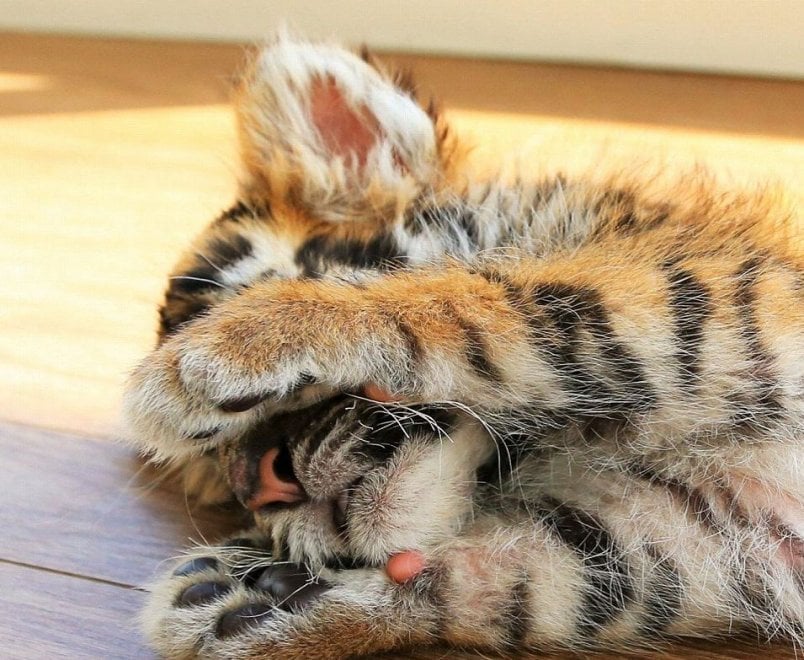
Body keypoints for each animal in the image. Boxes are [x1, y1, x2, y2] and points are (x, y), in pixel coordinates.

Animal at [123, 33, 804, 659]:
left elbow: (504, 302)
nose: (256, 485)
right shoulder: (693, 539)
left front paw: (224, 350)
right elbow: (523, 579)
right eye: (218, 471)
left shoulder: (717, 292)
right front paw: (247, 595)